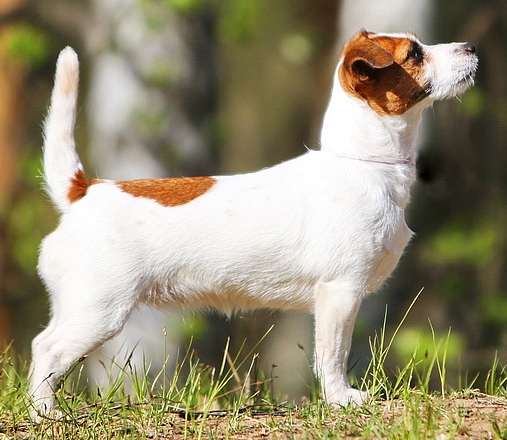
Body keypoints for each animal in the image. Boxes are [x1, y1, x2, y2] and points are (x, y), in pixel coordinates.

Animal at [28, 31, 480, 420]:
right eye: (414, 54)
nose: (472, 48)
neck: (361, 165)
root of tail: (83, 191)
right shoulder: (340, 291)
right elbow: (332, 354)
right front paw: (341, 399)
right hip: (100, 310)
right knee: (48, 350)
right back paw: (45, 414)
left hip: (77, 306)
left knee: (42, 344)